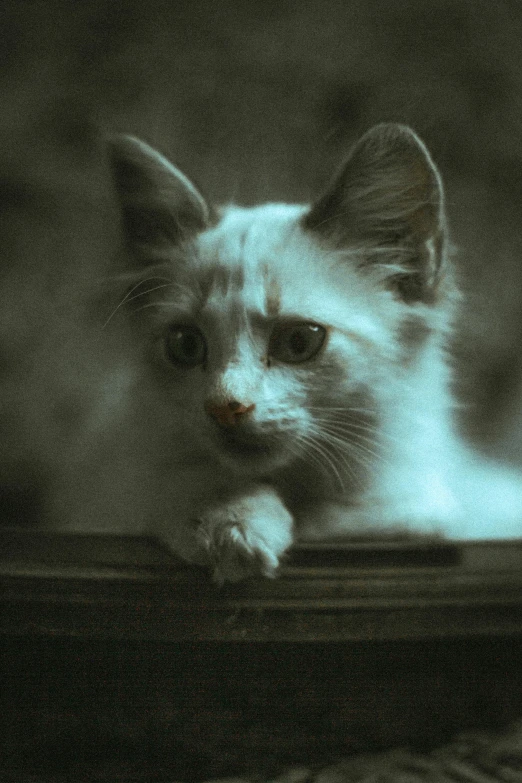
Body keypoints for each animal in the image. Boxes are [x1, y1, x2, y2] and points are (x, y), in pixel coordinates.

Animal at [49, 124, 520, 580]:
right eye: (185, 345)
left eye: (299, 342)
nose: (225, 408)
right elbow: (176, 484)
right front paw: (227, 522)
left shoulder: (421, 499)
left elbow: (386, 517)